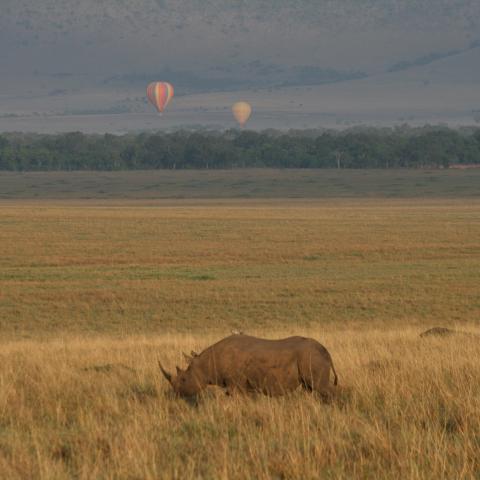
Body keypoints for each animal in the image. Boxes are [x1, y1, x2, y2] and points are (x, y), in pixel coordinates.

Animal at [158, 334, 338, 398]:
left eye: (183, 379)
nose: (176, 395)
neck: (205, 363)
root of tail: (327, 352)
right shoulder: (239, 385)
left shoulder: (234, 383)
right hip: (310, 358)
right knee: (310, 388)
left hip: (312, 357)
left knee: (321, 388)